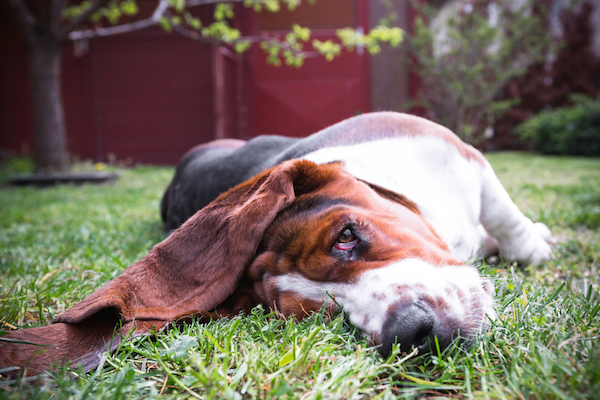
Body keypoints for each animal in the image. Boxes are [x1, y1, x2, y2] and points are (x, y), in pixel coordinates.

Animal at [0, 111, 552, 378]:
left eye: (346, 236)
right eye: (317, 315)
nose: (413, 332)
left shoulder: (463, 155)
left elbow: (505, 217)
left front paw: (531, 245)